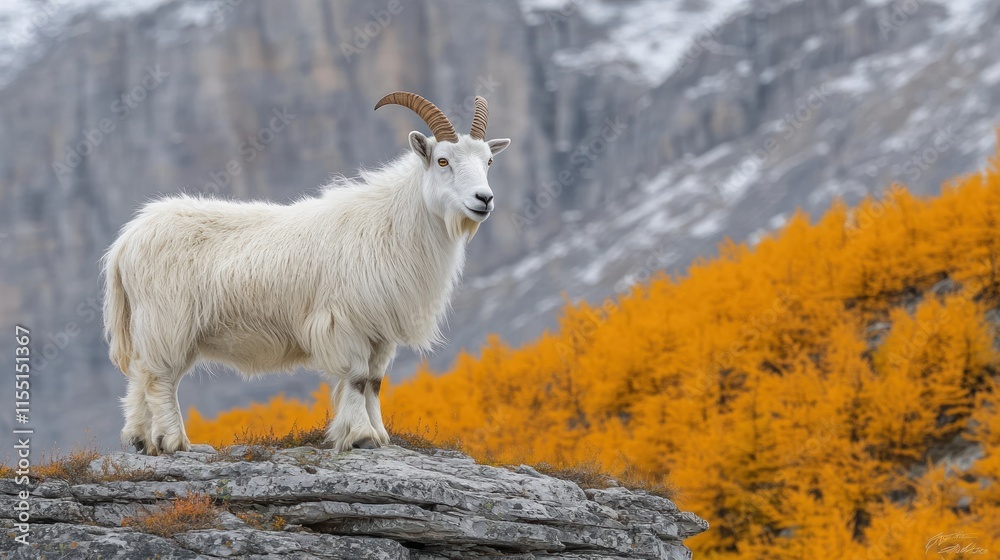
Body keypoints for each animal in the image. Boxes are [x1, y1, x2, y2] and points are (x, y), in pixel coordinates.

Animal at [102, 92, 510, 454]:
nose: (484, 199)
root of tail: (127, 239)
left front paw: (379, 435)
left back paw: (140, 439)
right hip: (168, 322)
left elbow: (375, 381)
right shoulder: (344, 322)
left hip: (160, 329)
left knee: (141, 375)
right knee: (160, 380)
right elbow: (357, 378)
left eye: (489, 161)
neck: (390, 222)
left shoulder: (380, 330)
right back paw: (174, 442)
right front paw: (362, 436)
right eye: (442, 161)